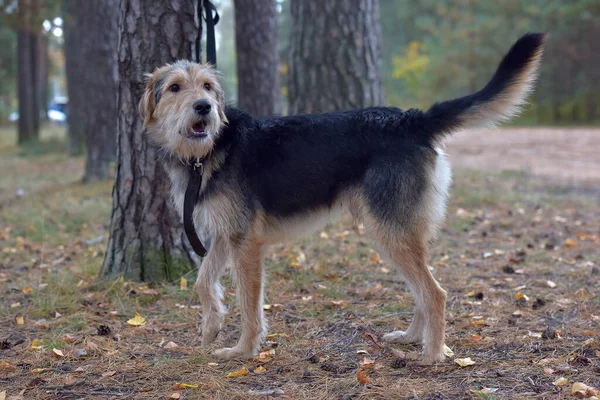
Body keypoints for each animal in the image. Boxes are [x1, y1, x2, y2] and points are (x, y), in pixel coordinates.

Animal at [139, 32, 544, 364]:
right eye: (175, 87)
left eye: (207, 86)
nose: (204, 107)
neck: (211, 150)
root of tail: (412, 120)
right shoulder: (225, 235)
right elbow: (203, 280)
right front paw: (211, 327)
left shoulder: (245, 242)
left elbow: (250, 306)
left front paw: (243, 350)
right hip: (395, 233)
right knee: (423, 290)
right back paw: (412, 337)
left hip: (389, 231)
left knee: (435, 293)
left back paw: (432, 354)